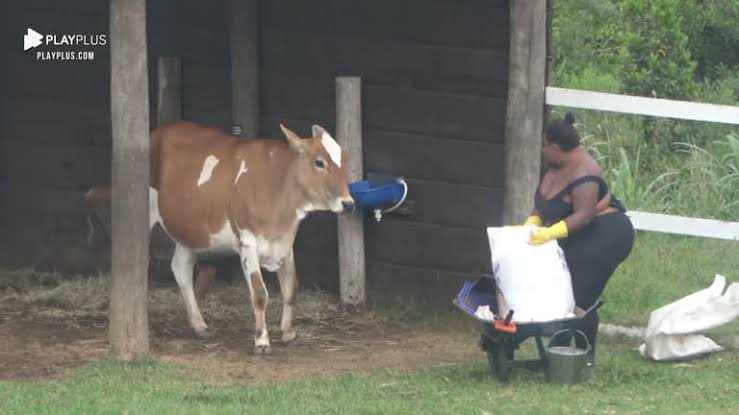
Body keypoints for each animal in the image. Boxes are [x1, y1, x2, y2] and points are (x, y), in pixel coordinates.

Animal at [88, 120, 355, 354]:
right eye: (319, 162)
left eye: (345, 161)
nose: (349, 203)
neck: (278, 187)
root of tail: (158, 132)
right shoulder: (247, 242)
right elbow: (259, 294)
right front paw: (262, 341)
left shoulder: (285, 242)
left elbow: (291, 288)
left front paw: (288, 333)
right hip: (145, 216)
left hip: (191, 230)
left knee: (181, 268)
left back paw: (199, 325)